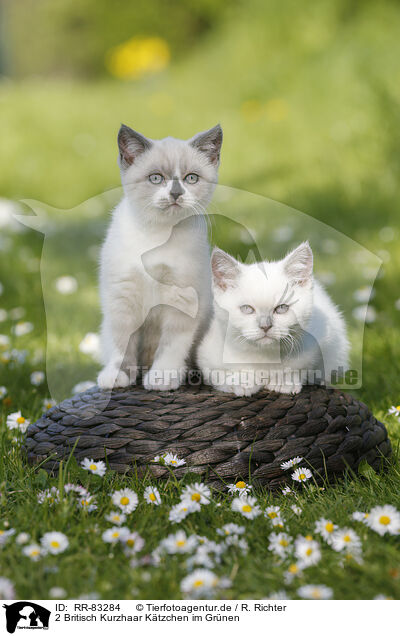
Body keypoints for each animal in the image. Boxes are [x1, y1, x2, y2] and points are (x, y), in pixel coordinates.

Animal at [97, 122, 222, 390]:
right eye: (156, 178)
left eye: (191, 178)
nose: (175, 193)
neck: (158, 234)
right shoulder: (122, 296)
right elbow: (121, 341)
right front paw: (117, 376)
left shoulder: (184, 297)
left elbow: (171, 344)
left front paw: (162, 377)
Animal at [198, 241, 348, 396]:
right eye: (247, 308)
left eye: (282, 308)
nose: (265, 326)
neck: (265, 356)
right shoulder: (206, 355)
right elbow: (218, 373)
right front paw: (241, 380)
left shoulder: (325, 338)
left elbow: (307, 367)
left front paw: (284, 380)